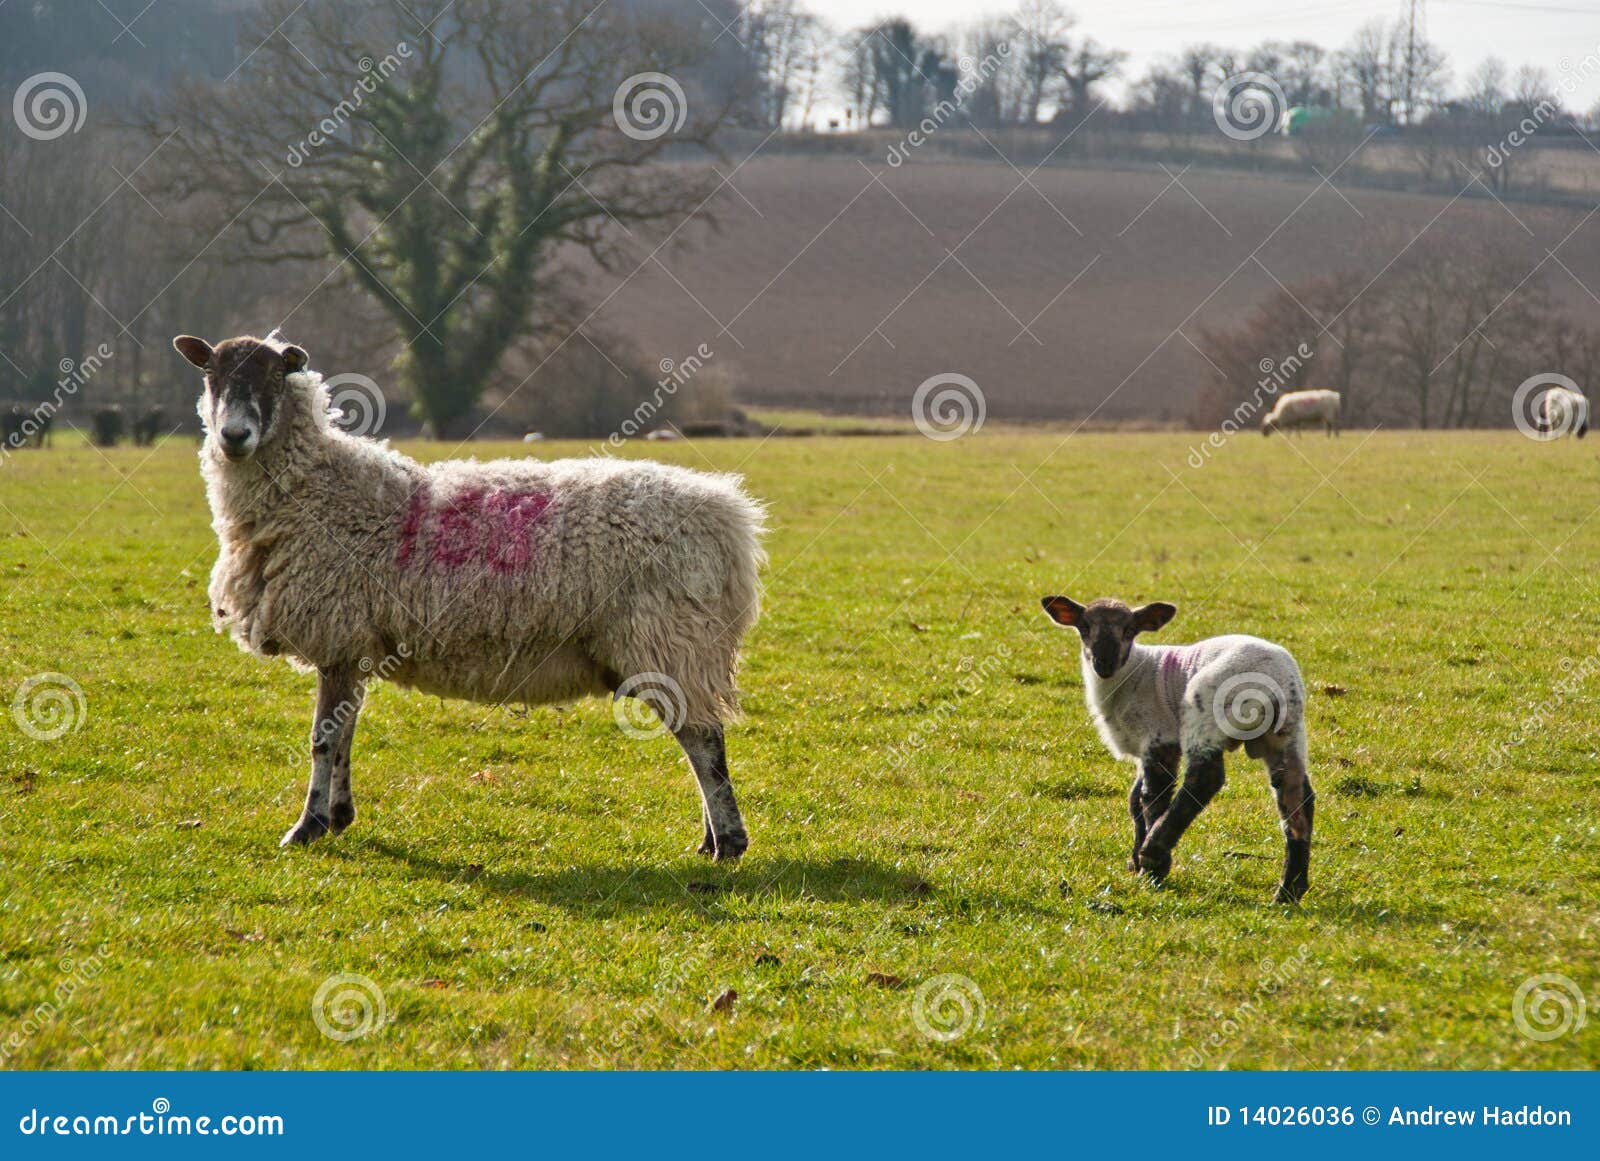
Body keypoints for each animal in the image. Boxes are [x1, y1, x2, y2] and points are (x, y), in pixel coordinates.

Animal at [172, 332, 766, 861]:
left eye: (274, 375)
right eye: (211, 375)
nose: (234, 436)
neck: (319, 491)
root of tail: (730, 519)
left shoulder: (338, 633)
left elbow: (323, 738)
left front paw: (308, 827)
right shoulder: (356, 643)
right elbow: (345, 735)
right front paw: (339, 815)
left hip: (669, 637)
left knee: (705, 742)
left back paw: (728, 842)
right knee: (703, 736)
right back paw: (712, 840)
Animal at [1040, 595, 1315, 903]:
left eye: (1129, 630)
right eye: (1085, 627)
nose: (1104, 663)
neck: (1135, 673)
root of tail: (1273, 681)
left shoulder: (1159, 738)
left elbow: (1151, 797)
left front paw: (1149, 866)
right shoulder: (1144, 748)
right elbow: (1134, 800)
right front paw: (1134, 860)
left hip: (1204, 714)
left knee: (1204, 780)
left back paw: (1153, 851)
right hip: (1287, 733)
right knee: (1296, 798)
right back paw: (1289, 890)